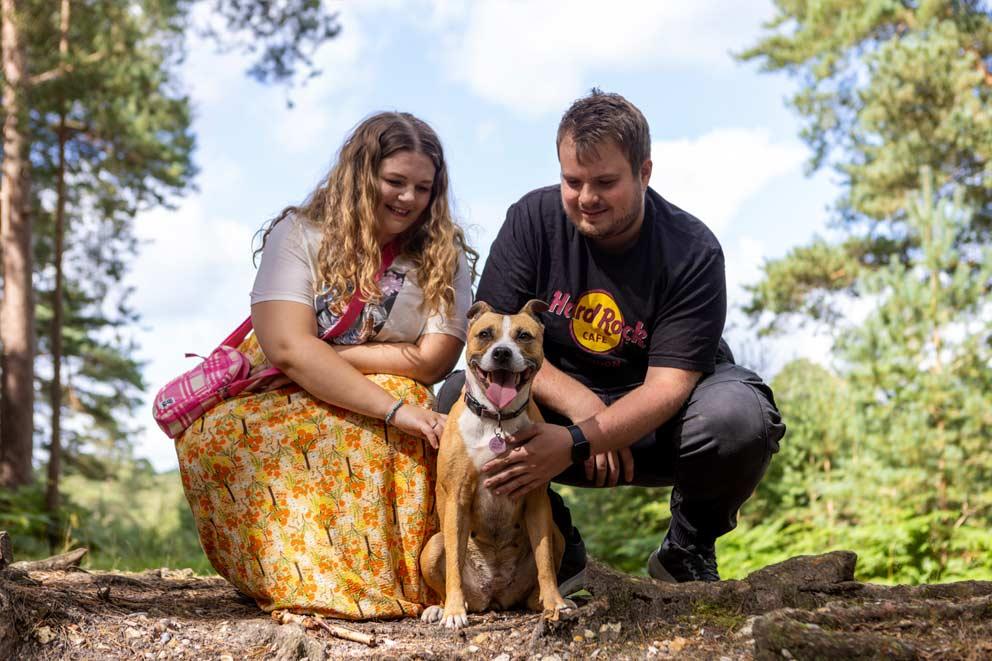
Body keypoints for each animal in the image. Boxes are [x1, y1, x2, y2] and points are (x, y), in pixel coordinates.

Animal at [418, 300, 572, 628]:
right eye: (485, 334)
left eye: (524, 336)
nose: (502, 352)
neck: (497, 420)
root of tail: (494, 597)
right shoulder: (457, 499)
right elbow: (453, 564)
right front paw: (453, 612)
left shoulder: (536, 499)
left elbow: (545, 562)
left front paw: (556, 603)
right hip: (433, 547)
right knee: (445, 571)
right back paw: (441, 607)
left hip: (558, 535)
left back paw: (540, 602)